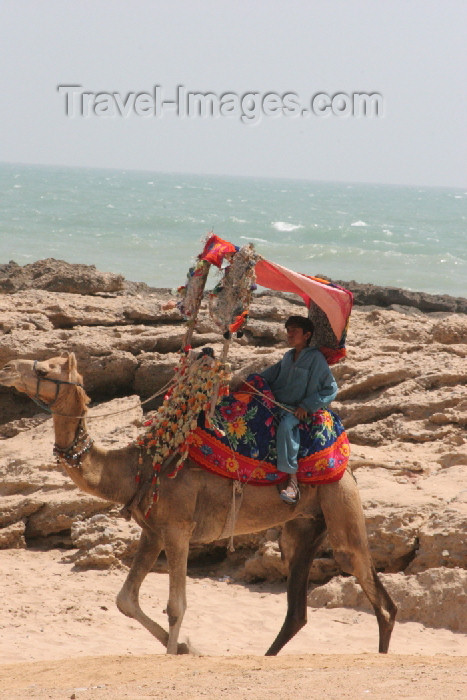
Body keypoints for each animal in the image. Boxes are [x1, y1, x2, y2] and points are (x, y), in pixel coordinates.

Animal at [0, 356, 398, 656]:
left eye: (45, 370)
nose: (7, 368)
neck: (138, 467)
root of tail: (348, 466)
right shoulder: (153, 532)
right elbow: (126, 599)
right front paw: (187, 648)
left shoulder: (178, 529)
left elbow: (177, 606)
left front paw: (178, 650)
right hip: (304, 525)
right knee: (297, 606)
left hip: (341, 503)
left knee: (375, 592)